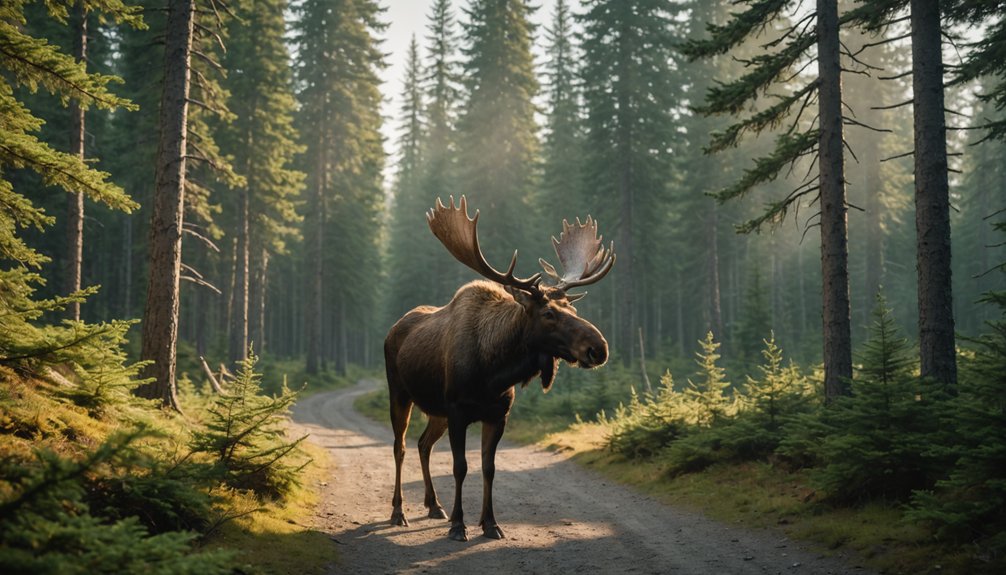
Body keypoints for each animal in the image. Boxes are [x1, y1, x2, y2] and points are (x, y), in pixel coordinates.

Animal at [384, 195, 615, 541]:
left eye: (573, 309)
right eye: (548, 313)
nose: (598, 348)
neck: (494, 371)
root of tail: (392, 330)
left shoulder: (497, 414)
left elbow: (488, 468)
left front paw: (490, 523)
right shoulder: (458, 410)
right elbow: (460, 467)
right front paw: (459, 525)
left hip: (436, 410)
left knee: (423, 444)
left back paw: (434, 505)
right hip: (400, 393)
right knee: (399, 447)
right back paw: (399, 512)